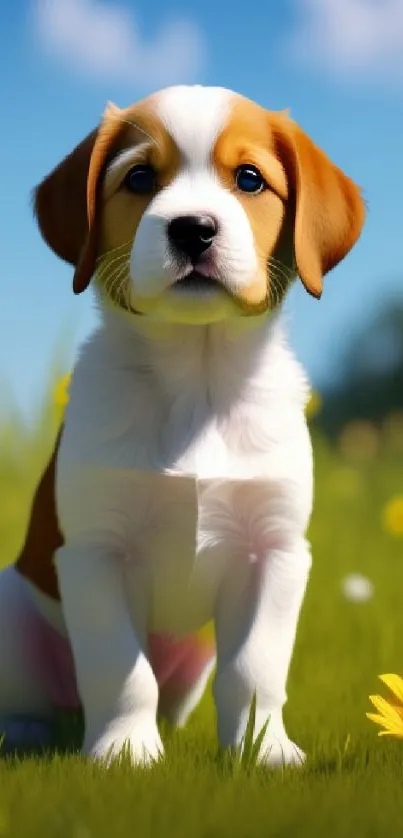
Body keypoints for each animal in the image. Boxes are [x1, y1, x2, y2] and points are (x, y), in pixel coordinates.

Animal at [0, 85, 366, 768]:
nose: (193, 228)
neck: (197, 379)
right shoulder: (96, 554)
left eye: (249, 178)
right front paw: (125, 752)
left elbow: (254, 669)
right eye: (140, 178)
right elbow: (121, 668)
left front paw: (263, 752)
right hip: (12, 608)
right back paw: (30, 733)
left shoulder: (274, 551)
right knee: (35, 699)